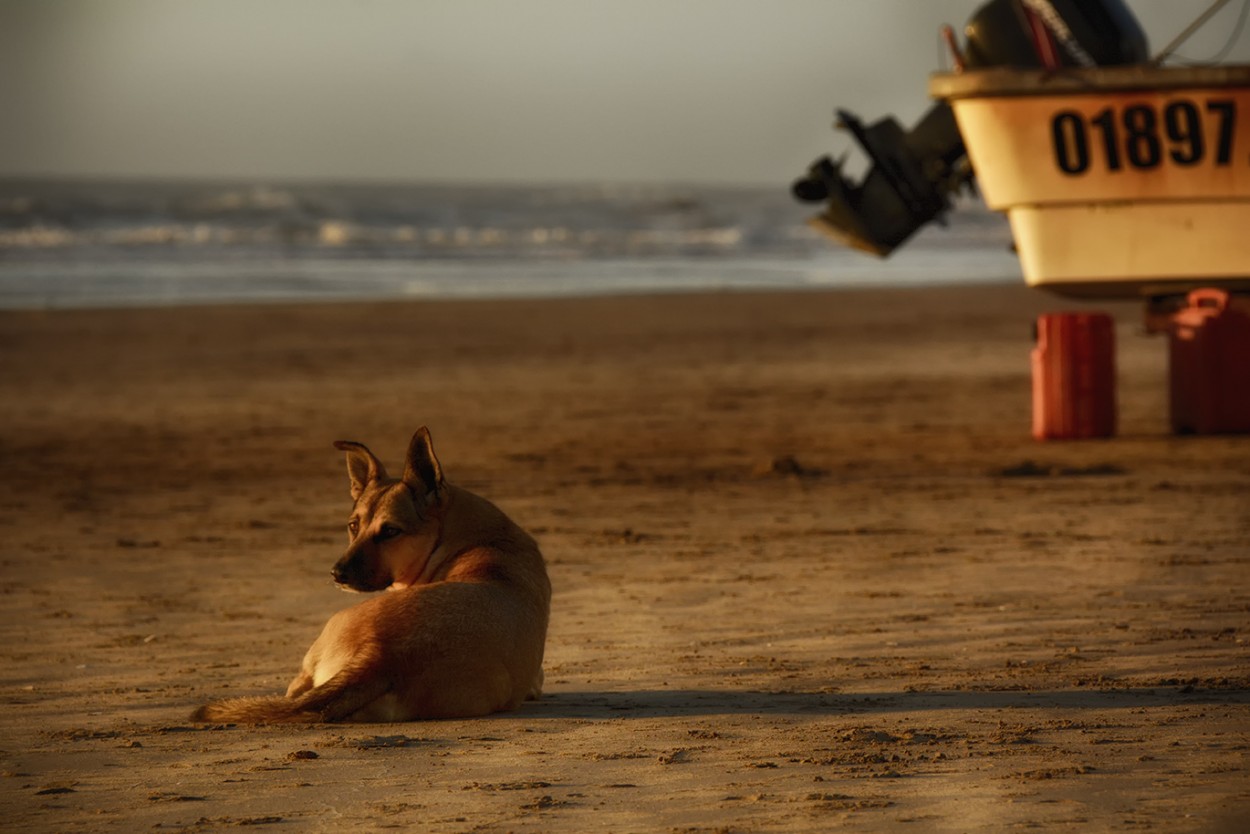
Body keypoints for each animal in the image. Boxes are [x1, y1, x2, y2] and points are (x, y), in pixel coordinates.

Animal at [188, 430, 547, 725]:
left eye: (390, 531)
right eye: (353, 526)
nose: (337, 574)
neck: (466, 536)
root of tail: (382, 656)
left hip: (328, 629)